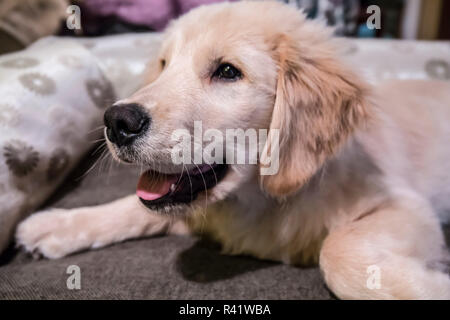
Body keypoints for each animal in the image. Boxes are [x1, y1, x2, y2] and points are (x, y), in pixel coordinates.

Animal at [14, 1, 450, 298]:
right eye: (164, 65)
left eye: (227, 72)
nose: (116, 121)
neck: (262, 200)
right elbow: (133, 207)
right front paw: (58, 224)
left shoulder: (403, 204)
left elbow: (339, 249)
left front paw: (430, 287)